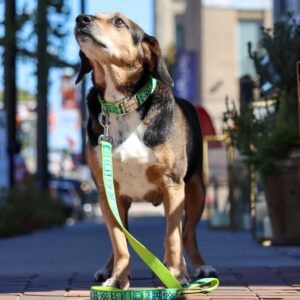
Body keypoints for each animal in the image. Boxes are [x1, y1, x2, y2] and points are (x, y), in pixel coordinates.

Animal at [74, 12, 216, 290]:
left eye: (119, 21)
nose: (81, 18)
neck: (122, 104)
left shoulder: (173, 185)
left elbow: (173, 237)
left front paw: (176, 274)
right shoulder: (107, 192)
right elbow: (119, 242)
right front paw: (118, 278)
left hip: (196, 190)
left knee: (188, 233)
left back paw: (198, 265)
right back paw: (107, 269)